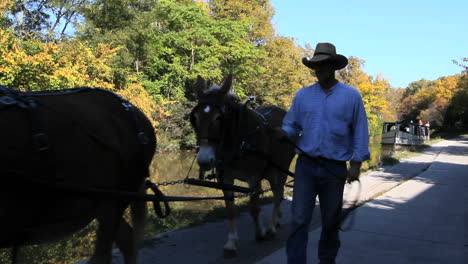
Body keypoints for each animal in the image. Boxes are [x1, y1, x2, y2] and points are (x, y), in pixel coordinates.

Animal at [189, 76, 292, 256]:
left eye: (219, 118)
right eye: (194, 117)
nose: (204, 160)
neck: (239, 141)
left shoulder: (254, 177)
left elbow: (254, 207)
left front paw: (260, 233)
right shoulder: (225, 178)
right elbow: (230, 209)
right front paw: (231, 242)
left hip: (281, 169)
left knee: (278, 193)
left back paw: (272, 226)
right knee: (276, 194)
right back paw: (277, 219)